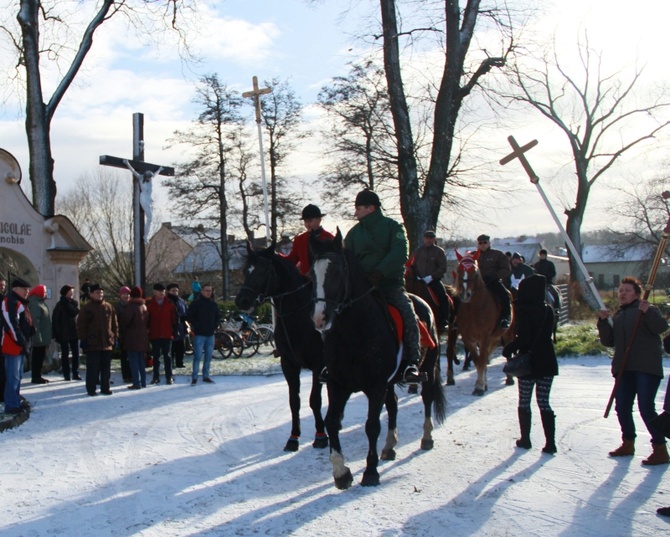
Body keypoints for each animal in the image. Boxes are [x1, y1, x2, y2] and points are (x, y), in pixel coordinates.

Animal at [236, 243, 330, 452]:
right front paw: (293, 438)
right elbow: (294, 401)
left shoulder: (318, 364)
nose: (241, 301)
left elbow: (315, 400)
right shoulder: (288, 364)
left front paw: (320, 436)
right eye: (245, 271)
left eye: (263, 270)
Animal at [312, 230, 448, 490]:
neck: (354, 332)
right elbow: (331, 421)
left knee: (426, 397)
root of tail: (423, 303)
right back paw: (389, 446)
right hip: (390, 381)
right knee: (393, 404)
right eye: (311, 275)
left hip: (427, 369)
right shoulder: (337, 384)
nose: (320, 318)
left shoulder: (375, 386)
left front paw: (370, 472)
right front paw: (341, 472)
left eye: (337, 272)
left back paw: (426, 437)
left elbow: (371, 426)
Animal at [454, 249, 516, 396]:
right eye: (459, 270)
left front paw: (479, 386)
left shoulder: (484, 336)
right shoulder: (468, 338)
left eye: (475, 271)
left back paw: (509, 378)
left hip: (508, 333)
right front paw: (481, 384)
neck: (473, 308)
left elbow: (482, 360)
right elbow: (478, 360)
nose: (465, 295)